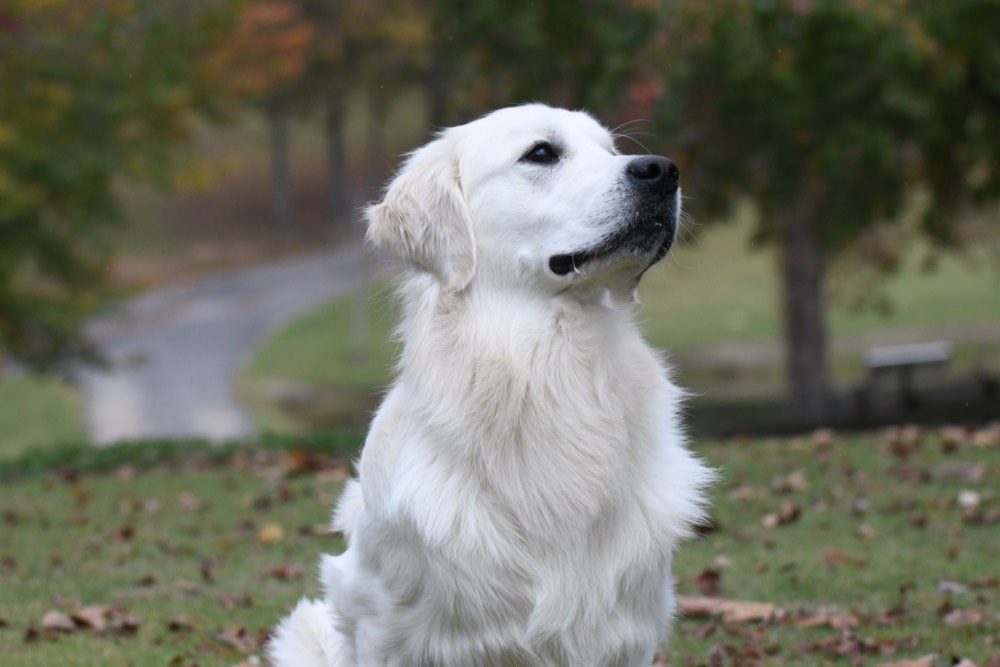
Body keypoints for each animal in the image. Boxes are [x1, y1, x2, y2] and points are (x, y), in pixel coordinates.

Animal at [270, 104, 716, 667]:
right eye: (541, 153)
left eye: (611, 150)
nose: (662, 170)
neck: (550, 362)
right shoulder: (386, 627)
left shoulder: (624, 630)